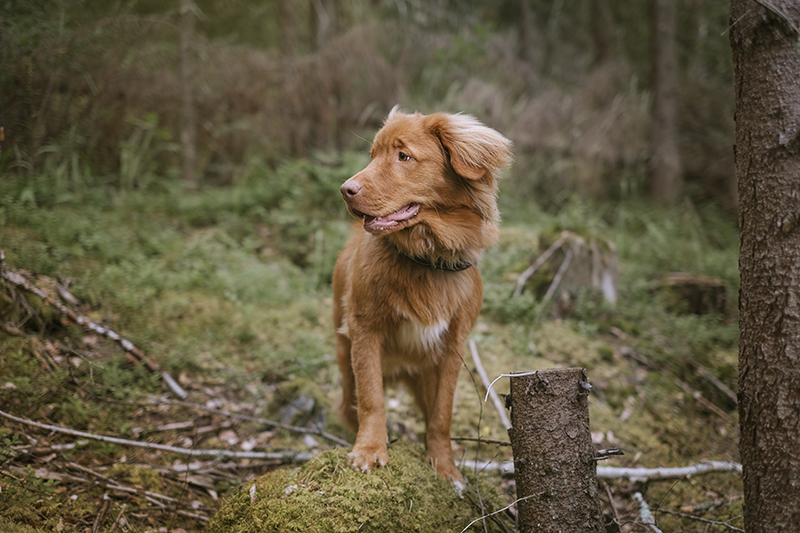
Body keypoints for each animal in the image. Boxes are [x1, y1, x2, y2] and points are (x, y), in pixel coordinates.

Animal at [332, 106, 512, 484]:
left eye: (403, 156)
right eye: (373, 155)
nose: (345, 190)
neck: (426, 259)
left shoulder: (452, 348)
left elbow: (442, 414)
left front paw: (444, 466)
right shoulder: (365, 331)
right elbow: (371, 398)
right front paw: (370, 450)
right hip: (344, 357)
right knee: (351, 402)